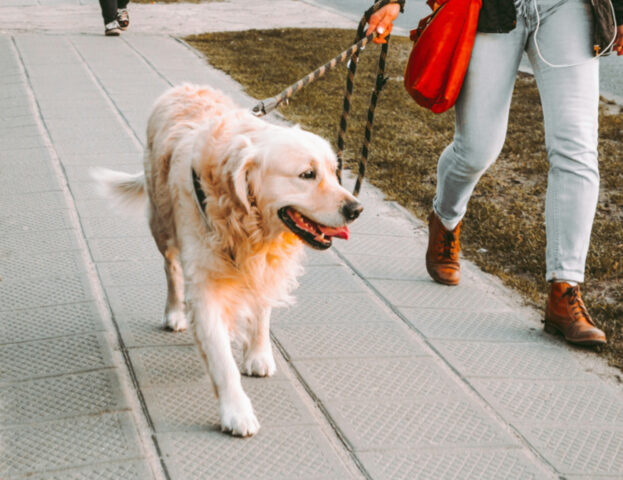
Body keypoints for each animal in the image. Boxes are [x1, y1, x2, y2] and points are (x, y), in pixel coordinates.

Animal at [95, 84, 364, 436]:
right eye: (307, 174)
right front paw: (236, 411)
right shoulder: (205, 287)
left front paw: (258, 354)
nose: (356, 209)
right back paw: (174, 313)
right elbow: (222, 360)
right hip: (161, 224)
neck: (246, 221)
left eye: (334, 172)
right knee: (171, 268)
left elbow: (261, 312)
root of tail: (182, 86)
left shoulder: (264, 267)